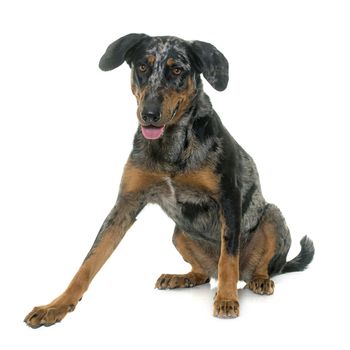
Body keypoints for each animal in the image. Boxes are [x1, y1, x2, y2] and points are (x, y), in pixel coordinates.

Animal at [23, 33, 314, 328]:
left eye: (177, 70)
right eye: (142, 66)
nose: (149, 114)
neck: (170, 148)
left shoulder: (229, 199)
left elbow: (228, 259)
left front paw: (226, 299)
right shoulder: (125, 205)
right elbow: (90, 260)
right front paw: (57, 305)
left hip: (273, 217)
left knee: (256, 267)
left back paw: (258, 280)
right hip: (179, 234)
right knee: (204, 273)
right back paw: (182, 277)